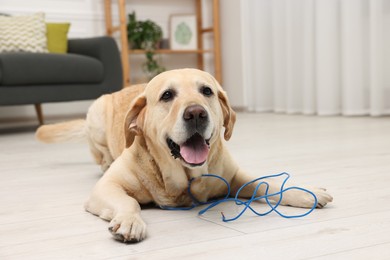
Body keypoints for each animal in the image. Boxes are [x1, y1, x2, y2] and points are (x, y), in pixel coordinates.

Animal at [35, 68, 332, 242]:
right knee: (101, 157)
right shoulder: (107, 187)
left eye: (207, 91)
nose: (196, 113)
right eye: (167, 95)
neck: (185, 176)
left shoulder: (234, 175)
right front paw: (130, 221)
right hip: (96, 115)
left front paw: (304, 192)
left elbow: (266, 182)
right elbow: (128, 202)